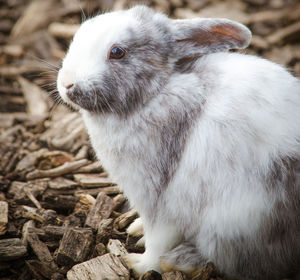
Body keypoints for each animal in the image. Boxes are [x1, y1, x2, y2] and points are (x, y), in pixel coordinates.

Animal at [56, 4, 300, 280]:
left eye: (117, 52)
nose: (66, 84)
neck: (154, 95)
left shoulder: (161, 199)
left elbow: (157, 241)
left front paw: (138, 264)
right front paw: (135, 228)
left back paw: (181, 260)